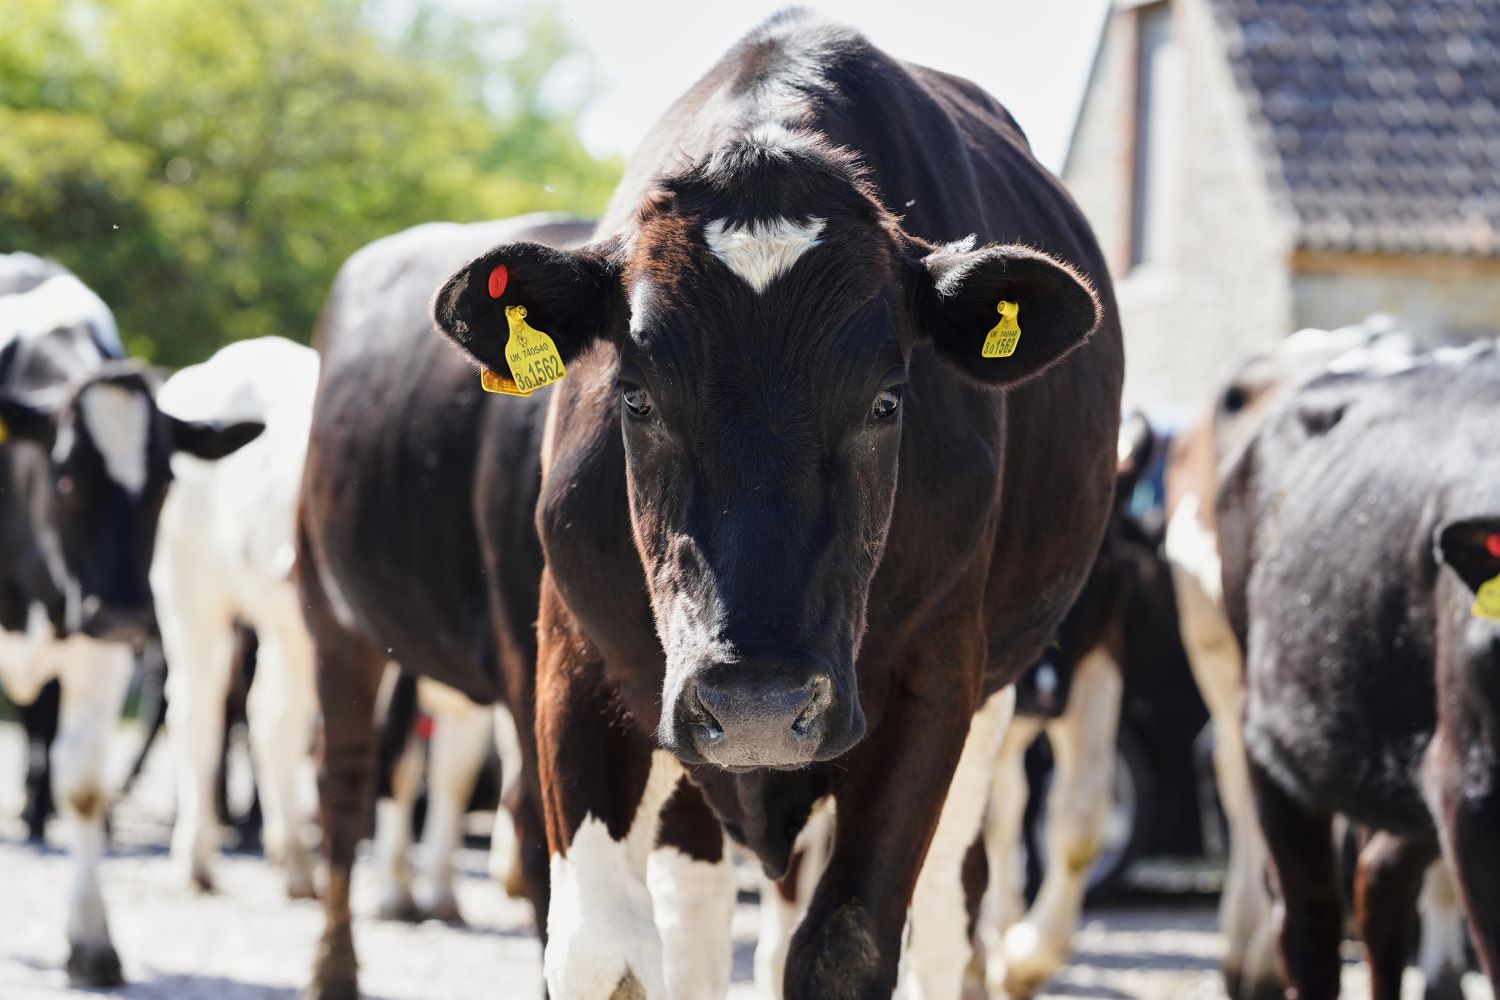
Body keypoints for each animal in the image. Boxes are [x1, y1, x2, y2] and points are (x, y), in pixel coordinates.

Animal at [0, 258, 263, 985]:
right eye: (65, 479)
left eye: (165, 482)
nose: (121, 613)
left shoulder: (100, 653)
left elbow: (85, 786)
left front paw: (92, 944)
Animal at [150, 336, 321, 899]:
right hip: (190, 591)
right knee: (197, 710)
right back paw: (196, 857)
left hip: (285, 624)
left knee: (273, 716)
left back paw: (293, 860)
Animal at [413, 12, 1123, 999]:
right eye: (635, 396)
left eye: (887, 402)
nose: (757, 703)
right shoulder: (576, 652)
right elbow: (602, 947)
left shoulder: (938, 674)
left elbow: (845, 944)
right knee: (700, 913)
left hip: (989, 700)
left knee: (947, 907)